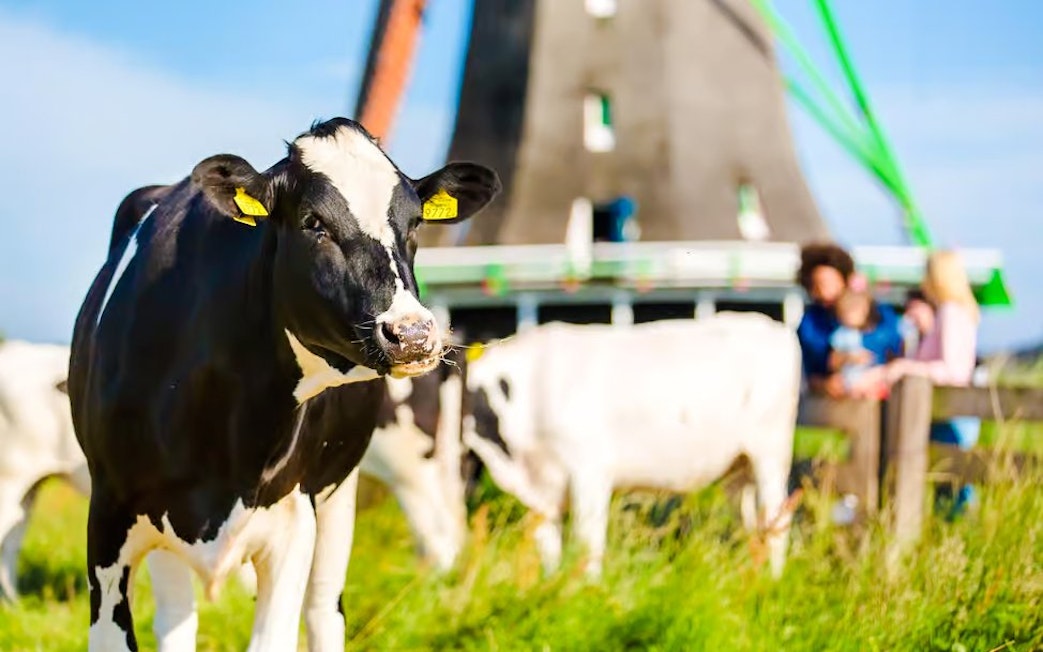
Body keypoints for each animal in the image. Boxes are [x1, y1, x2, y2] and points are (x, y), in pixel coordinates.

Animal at [68, 117, 499, 652]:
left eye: (416, 222)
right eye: (313, 223)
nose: (413, 335)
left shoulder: (293, 521)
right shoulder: (108, 517)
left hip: (342, 493)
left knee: (324, 609)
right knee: (175, 618)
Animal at [460, 314, 802, 579]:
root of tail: (772, 325)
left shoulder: (590, 474)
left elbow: (588, 545)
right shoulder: (540, 492)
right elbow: (550, 553)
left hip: (771, 455)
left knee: (777, 523)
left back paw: (771, 584)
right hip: (739, 470)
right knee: (753, 528)